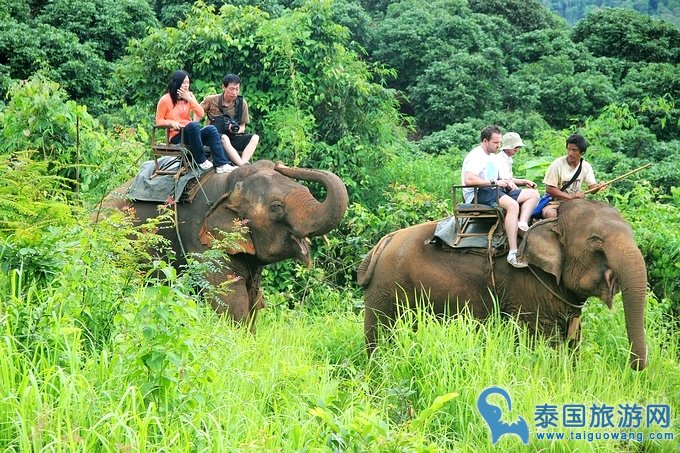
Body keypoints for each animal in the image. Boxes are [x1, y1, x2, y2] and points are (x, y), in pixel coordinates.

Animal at [103, 159, 348, 328]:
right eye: (276, 207)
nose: (280, 164)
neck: (227, 187)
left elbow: (253, 301)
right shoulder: (201, 239)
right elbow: (231, 302)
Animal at [356, 200, 648, 370]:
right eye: (597, 242)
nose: (634, 366)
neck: (551, 220)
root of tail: (381, 244)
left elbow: (572, 336)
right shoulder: (527, 284)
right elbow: (544, 340)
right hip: (386, 287)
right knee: (382, 331)